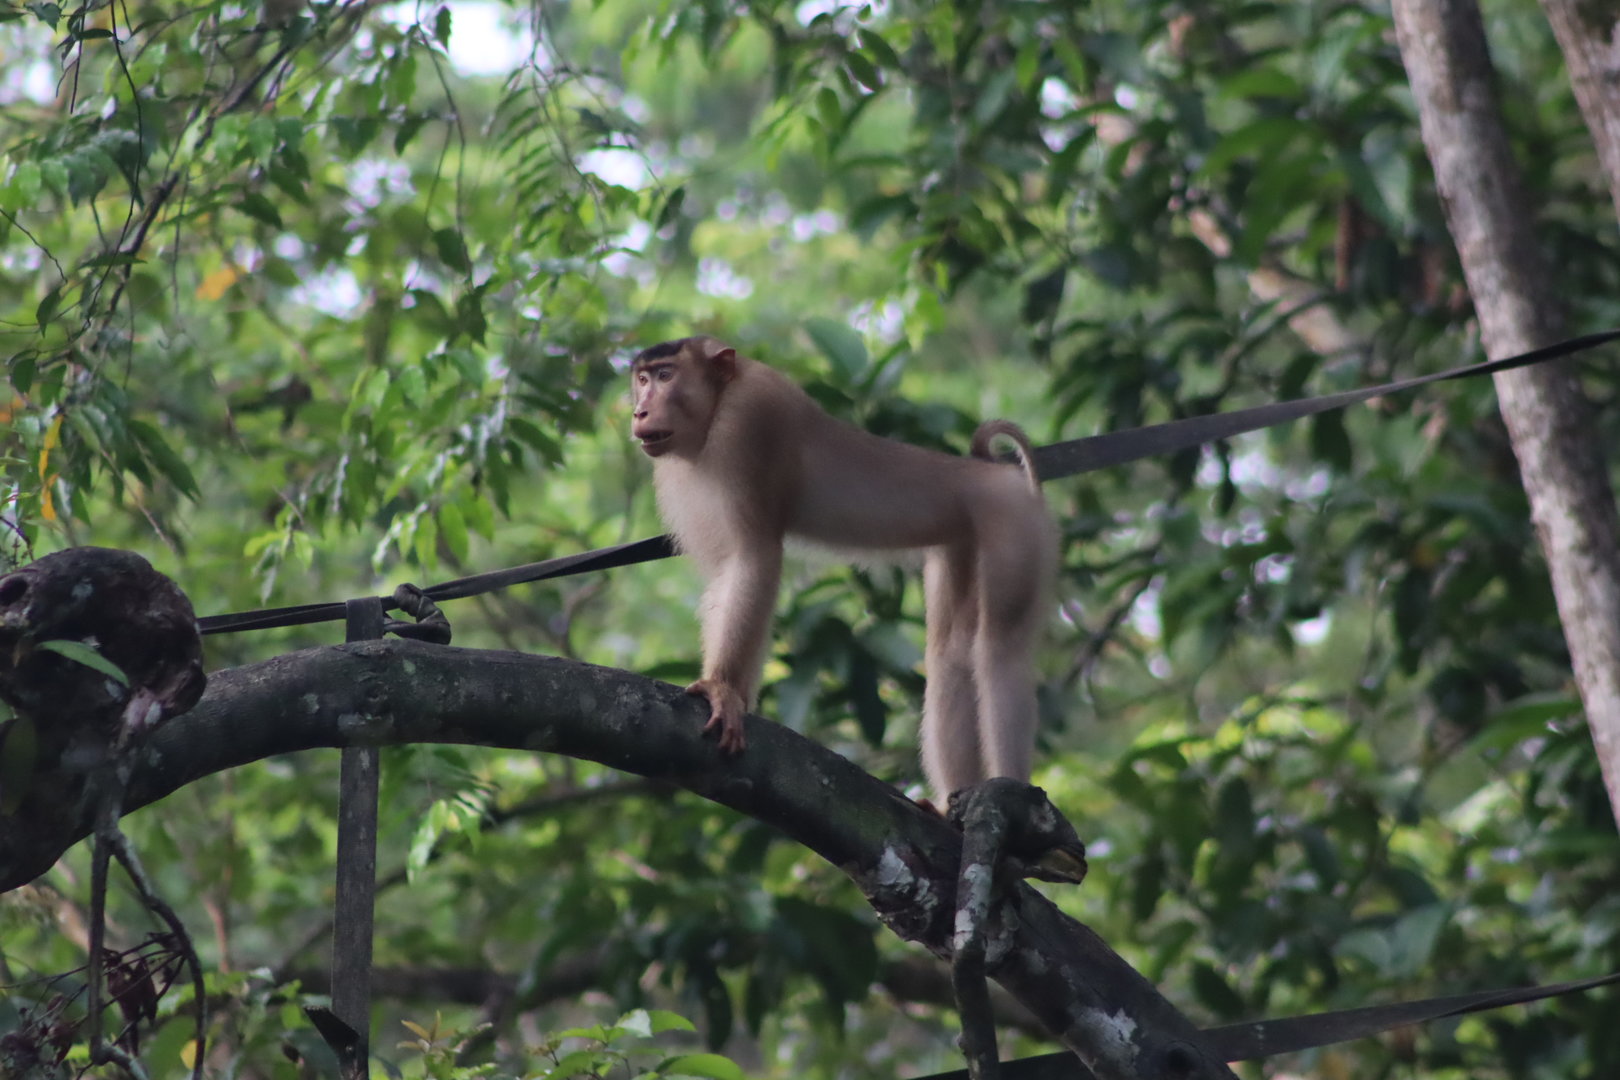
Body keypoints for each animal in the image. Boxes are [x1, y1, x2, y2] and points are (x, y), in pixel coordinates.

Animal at [629, 335, 1057, 802]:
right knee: (952, 649)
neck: (721, 398)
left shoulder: (750, 422)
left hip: (1012, 520)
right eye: (642, 379)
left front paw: (723, 690)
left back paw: (1014, 794)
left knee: (1000, 646)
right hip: (960, 539)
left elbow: (752, 556)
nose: (639, 410)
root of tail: (990, 472)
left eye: (665, 375)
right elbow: (728, 568)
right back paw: (952, 804)